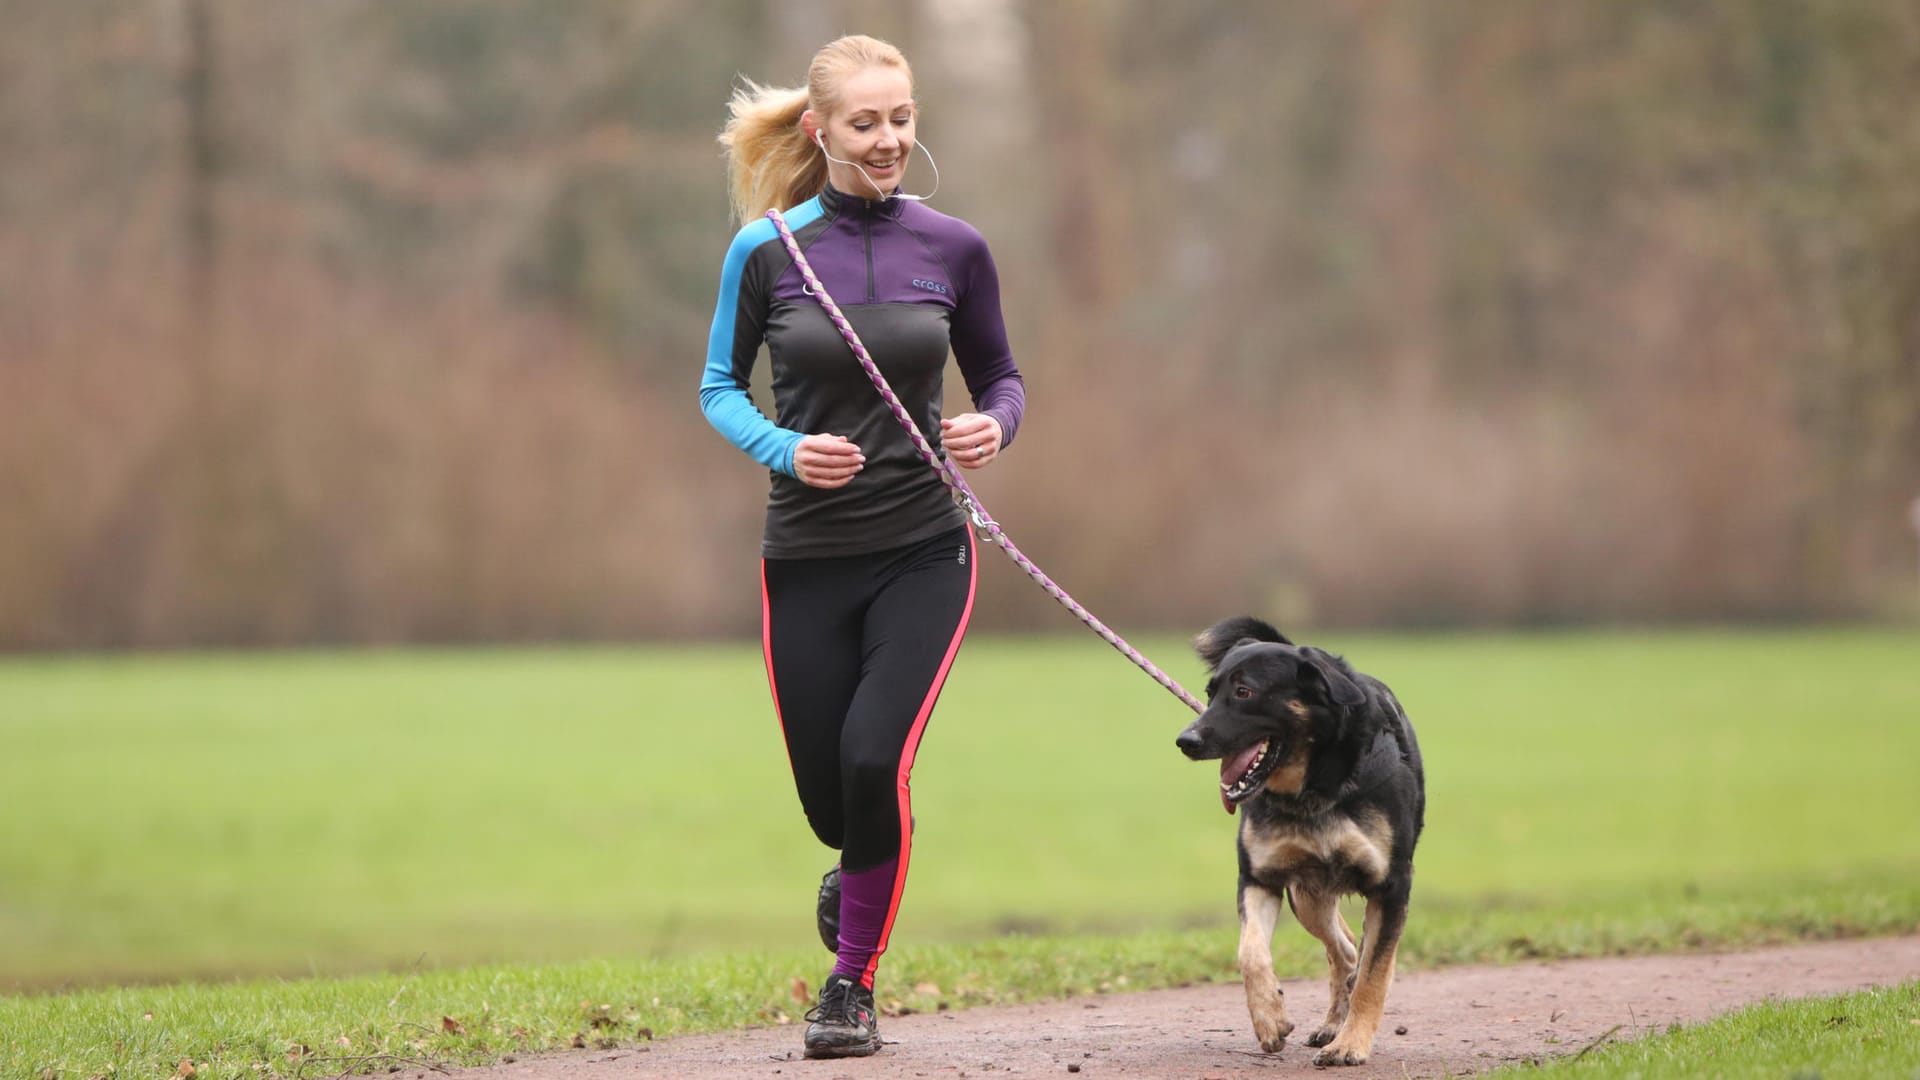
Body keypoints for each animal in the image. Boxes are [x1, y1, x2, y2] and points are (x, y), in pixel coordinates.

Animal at [1167, 611, 1428, 1060]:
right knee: (1344, 951)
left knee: (1357, 957)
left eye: (1244, 691)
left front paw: (1351, 1045)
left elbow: (1374, 976)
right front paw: (1270, 1018)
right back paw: (1331, 1023)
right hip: (1308, 896)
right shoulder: (1260, 878)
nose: (1187, 740)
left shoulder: (1391, 886)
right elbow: (1251, 953)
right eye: (1210, 693)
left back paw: (1340, 1028)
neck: (1312, 789)